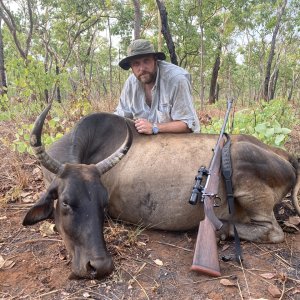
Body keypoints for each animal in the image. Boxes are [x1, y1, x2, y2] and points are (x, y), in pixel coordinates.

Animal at [23, 105, 300, 278]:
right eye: (66, 202)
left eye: (103, 204)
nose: (99, 266)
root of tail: (285, 156)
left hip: (242, 164)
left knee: (273, 231)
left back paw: (223, 231)